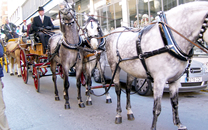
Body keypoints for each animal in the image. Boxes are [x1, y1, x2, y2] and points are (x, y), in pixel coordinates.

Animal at [105, 1, 208, 129]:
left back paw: (129, 112)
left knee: (128, 89)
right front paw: (153, 127)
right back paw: (118, 115)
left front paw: (178, 124)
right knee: (118, 90)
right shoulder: (159, 80)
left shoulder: (175, 80)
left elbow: (175, 103)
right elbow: (157, 108)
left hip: (131, 69)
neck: (169, 38)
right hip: (114, 66)